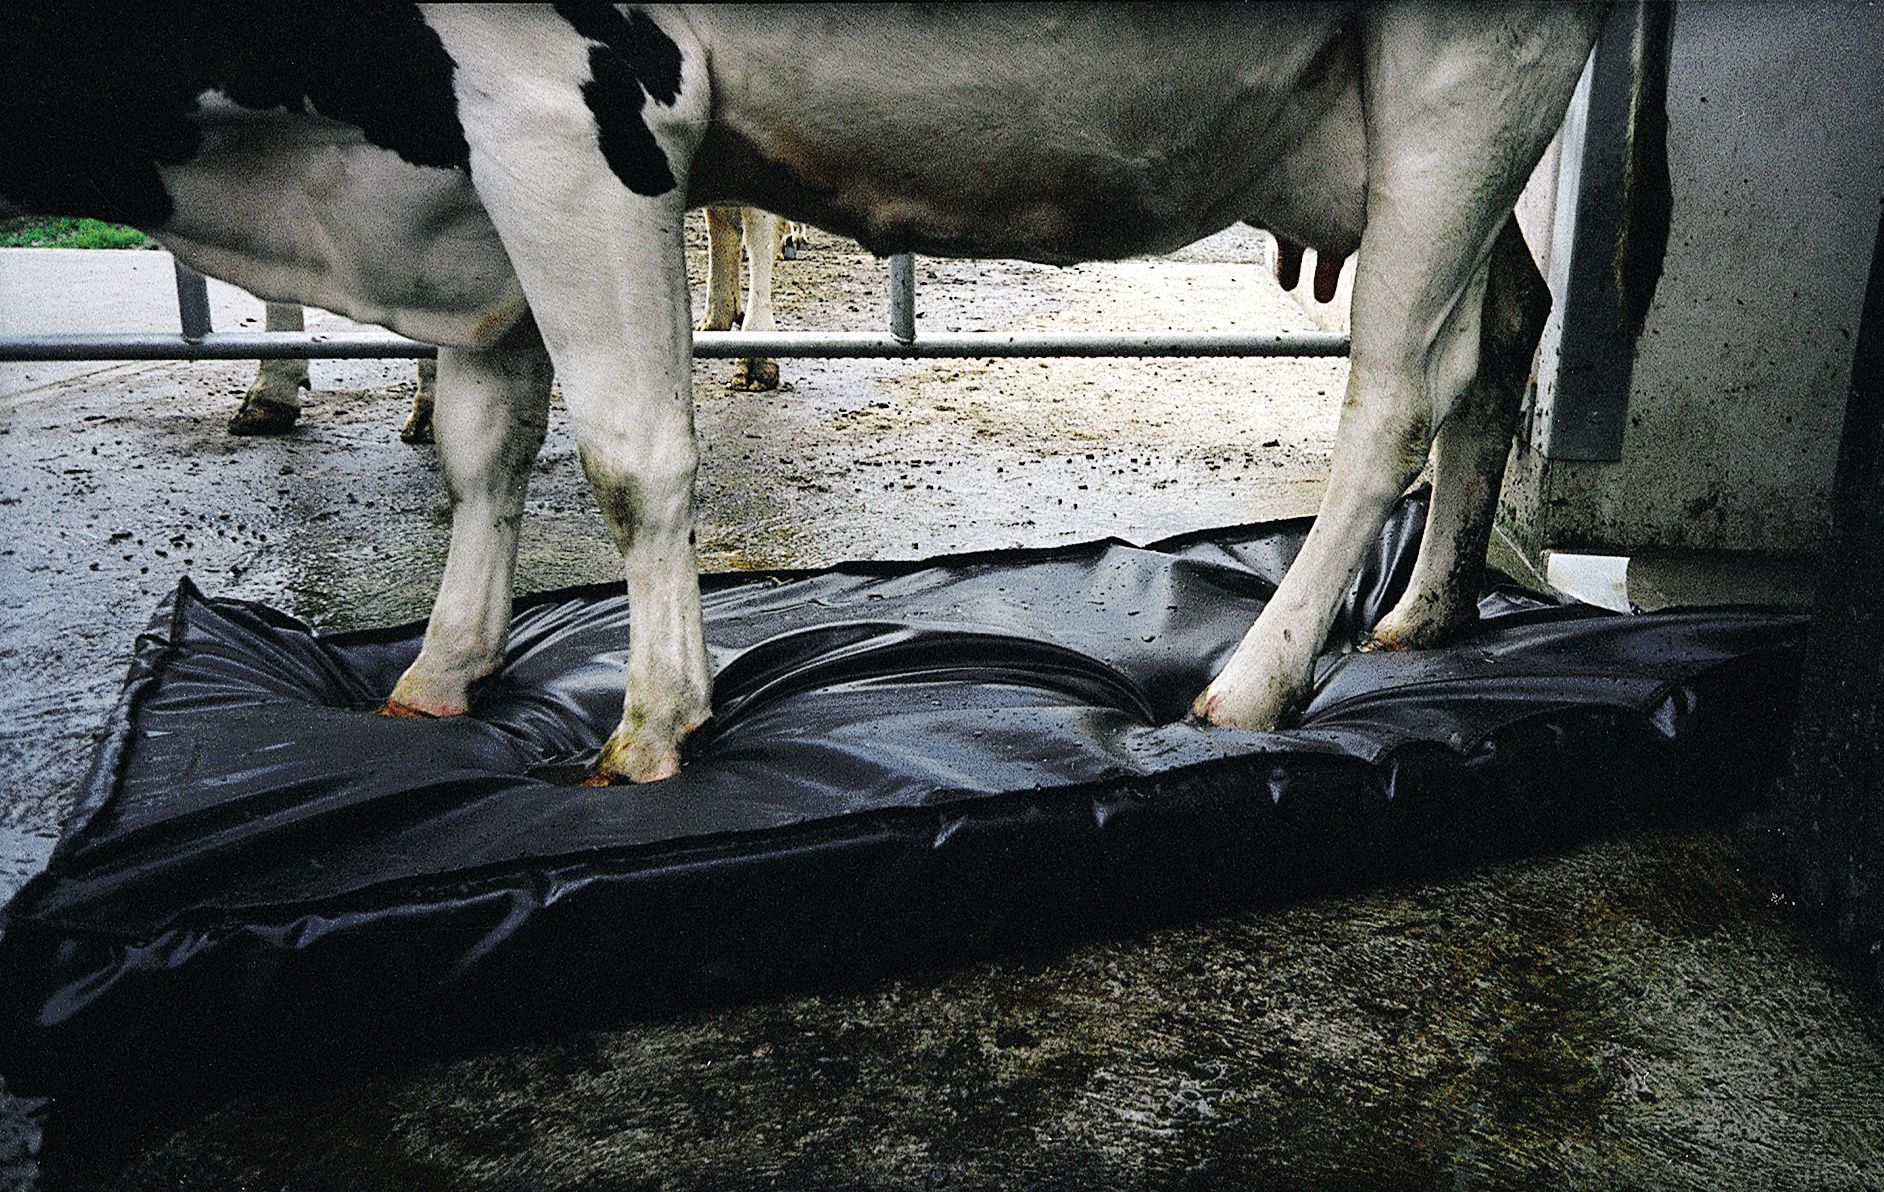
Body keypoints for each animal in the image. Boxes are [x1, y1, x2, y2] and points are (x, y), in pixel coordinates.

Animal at [0, 4, 1606, 783]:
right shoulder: (474, 174)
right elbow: (483, 444)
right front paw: (440, 679)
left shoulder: (571, 104)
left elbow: (632, 454)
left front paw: (653, 726)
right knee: (1506, 325)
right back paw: (1428, 617)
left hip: (1469, 71)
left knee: (1400, 387)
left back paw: (1254, 686)